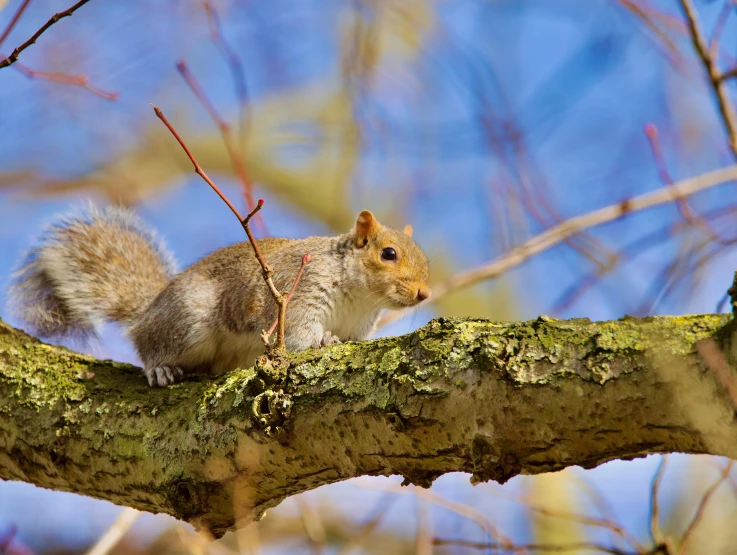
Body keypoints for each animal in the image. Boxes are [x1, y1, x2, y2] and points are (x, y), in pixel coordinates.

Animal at [7, 203, 432, 386]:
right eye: (388, 254)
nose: (424, 293)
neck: (359, 297)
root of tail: (149, 312)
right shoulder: (298, 293)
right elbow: (297, 335)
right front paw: (323, 340)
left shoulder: (359, 327)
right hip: (187, 319)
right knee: (149, 346)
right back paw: (160, 368)